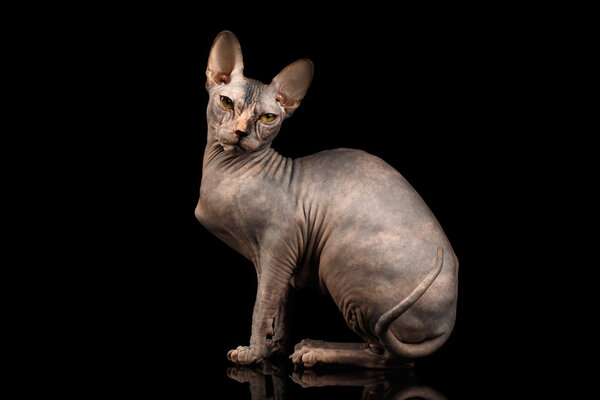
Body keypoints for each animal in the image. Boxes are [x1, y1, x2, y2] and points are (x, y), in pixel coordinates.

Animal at [197, 30, 460, 368]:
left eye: (268, 117)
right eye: (226, 102)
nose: (241, 132)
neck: (230, 170)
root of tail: (447, 324)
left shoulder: (278, 248)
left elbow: (262, 307)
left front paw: (252, 352)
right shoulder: (284, 259)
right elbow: (280, 308)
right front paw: (273, 348)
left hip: (337, 259)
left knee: (386, 356)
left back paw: (316, 352)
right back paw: (310, 343)